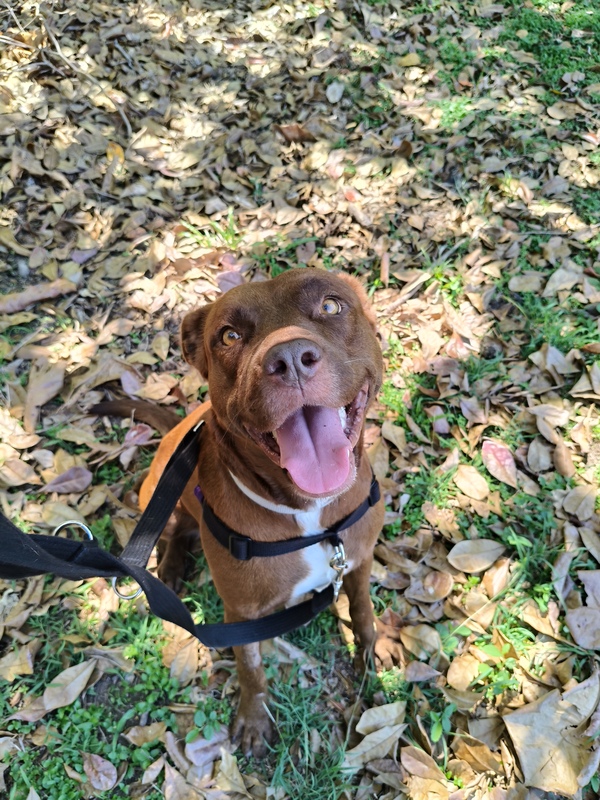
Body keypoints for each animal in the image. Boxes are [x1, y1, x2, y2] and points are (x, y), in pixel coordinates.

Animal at [97, 268, 389, 756]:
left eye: (331, 306)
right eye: (229, 335)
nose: (289, 359)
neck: (309, 514)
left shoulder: (358, 560)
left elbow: (364, 614)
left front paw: (370, 663)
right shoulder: (241, 612)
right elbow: (250, 667)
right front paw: (254, 719)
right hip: (156, 496)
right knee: (176, 529)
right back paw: (171, 567)